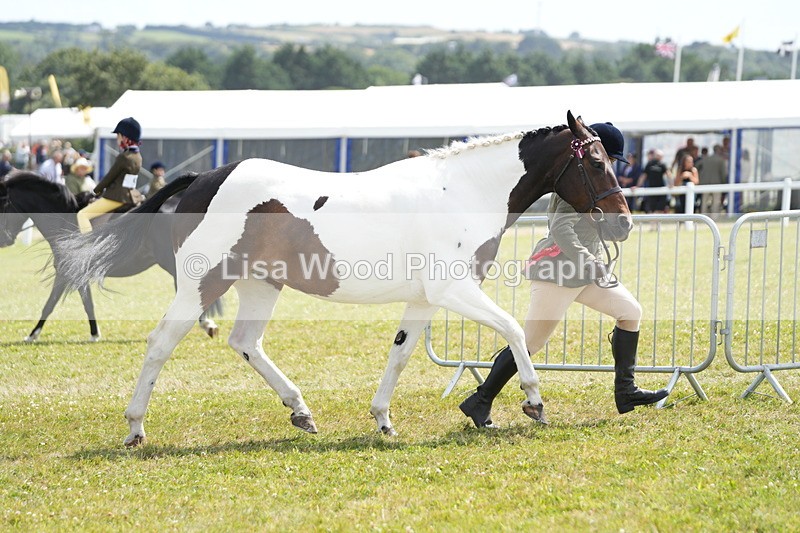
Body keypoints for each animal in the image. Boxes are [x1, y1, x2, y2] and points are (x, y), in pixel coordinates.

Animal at [0, 173, 221, 341]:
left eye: (3, 206)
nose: (5, 240)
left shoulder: (66, 272)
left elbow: (53, 304)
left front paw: (33, 335)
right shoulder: (74, 273)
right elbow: (83, 303)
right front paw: (94, 333)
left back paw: (205, 323)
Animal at [57, 111, 632, 446]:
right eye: (596, 162)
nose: (624, 222)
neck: (463, 191)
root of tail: (204, 178)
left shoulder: (426, 299)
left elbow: (401, 353)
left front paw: (383, 420)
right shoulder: (454, 290)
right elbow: (513, 329)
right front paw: (534, 402)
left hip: (261, 283)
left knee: (246, 342)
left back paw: (301, 412)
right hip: (203, 283)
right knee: (161, 343)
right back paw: (135, 428)